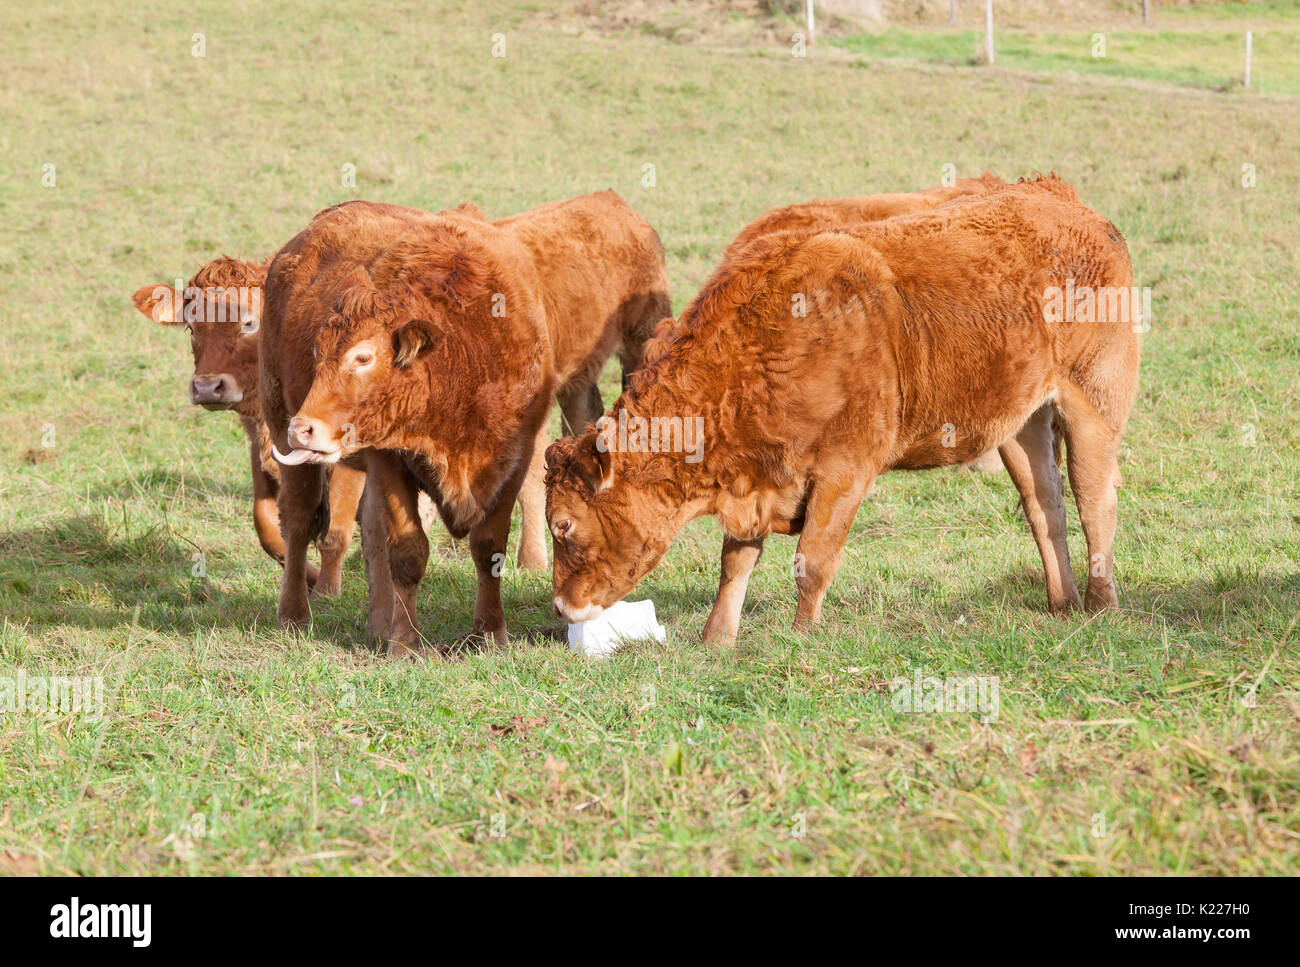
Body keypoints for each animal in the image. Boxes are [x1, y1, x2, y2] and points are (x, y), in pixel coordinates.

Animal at [131, 257, 364, 592]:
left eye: (250, 323)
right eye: (191, 327)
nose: (206, 387)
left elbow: (336, 531)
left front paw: (326, 592)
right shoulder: (259, 439)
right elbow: (266, 524)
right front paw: (306, 577)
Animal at [263, 191, 670, 652]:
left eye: (363, 357)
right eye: (319, 355)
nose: (303, 428)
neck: (464, 357)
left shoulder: (513, 459)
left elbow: (487, 546)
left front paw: (490, 631)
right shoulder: (390, 462)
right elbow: (407, 550)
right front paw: (405, 642)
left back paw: (377, 622)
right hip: (281, 423)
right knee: (298, 523)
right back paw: (295, 614)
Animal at [546, 178, 1138, 644]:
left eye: (564, 525)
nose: (561, 607)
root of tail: (1056, 196)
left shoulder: (845, 471)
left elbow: (812, 562)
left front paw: (801, 637)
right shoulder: (756, 481)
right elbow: (734, 564)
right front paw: (717, 639)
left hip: (1095, 403)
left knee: (1094, 501)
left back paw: (1101, 605)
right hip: (1021, 424)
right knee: (1045, 506)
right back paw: (1063, 604)